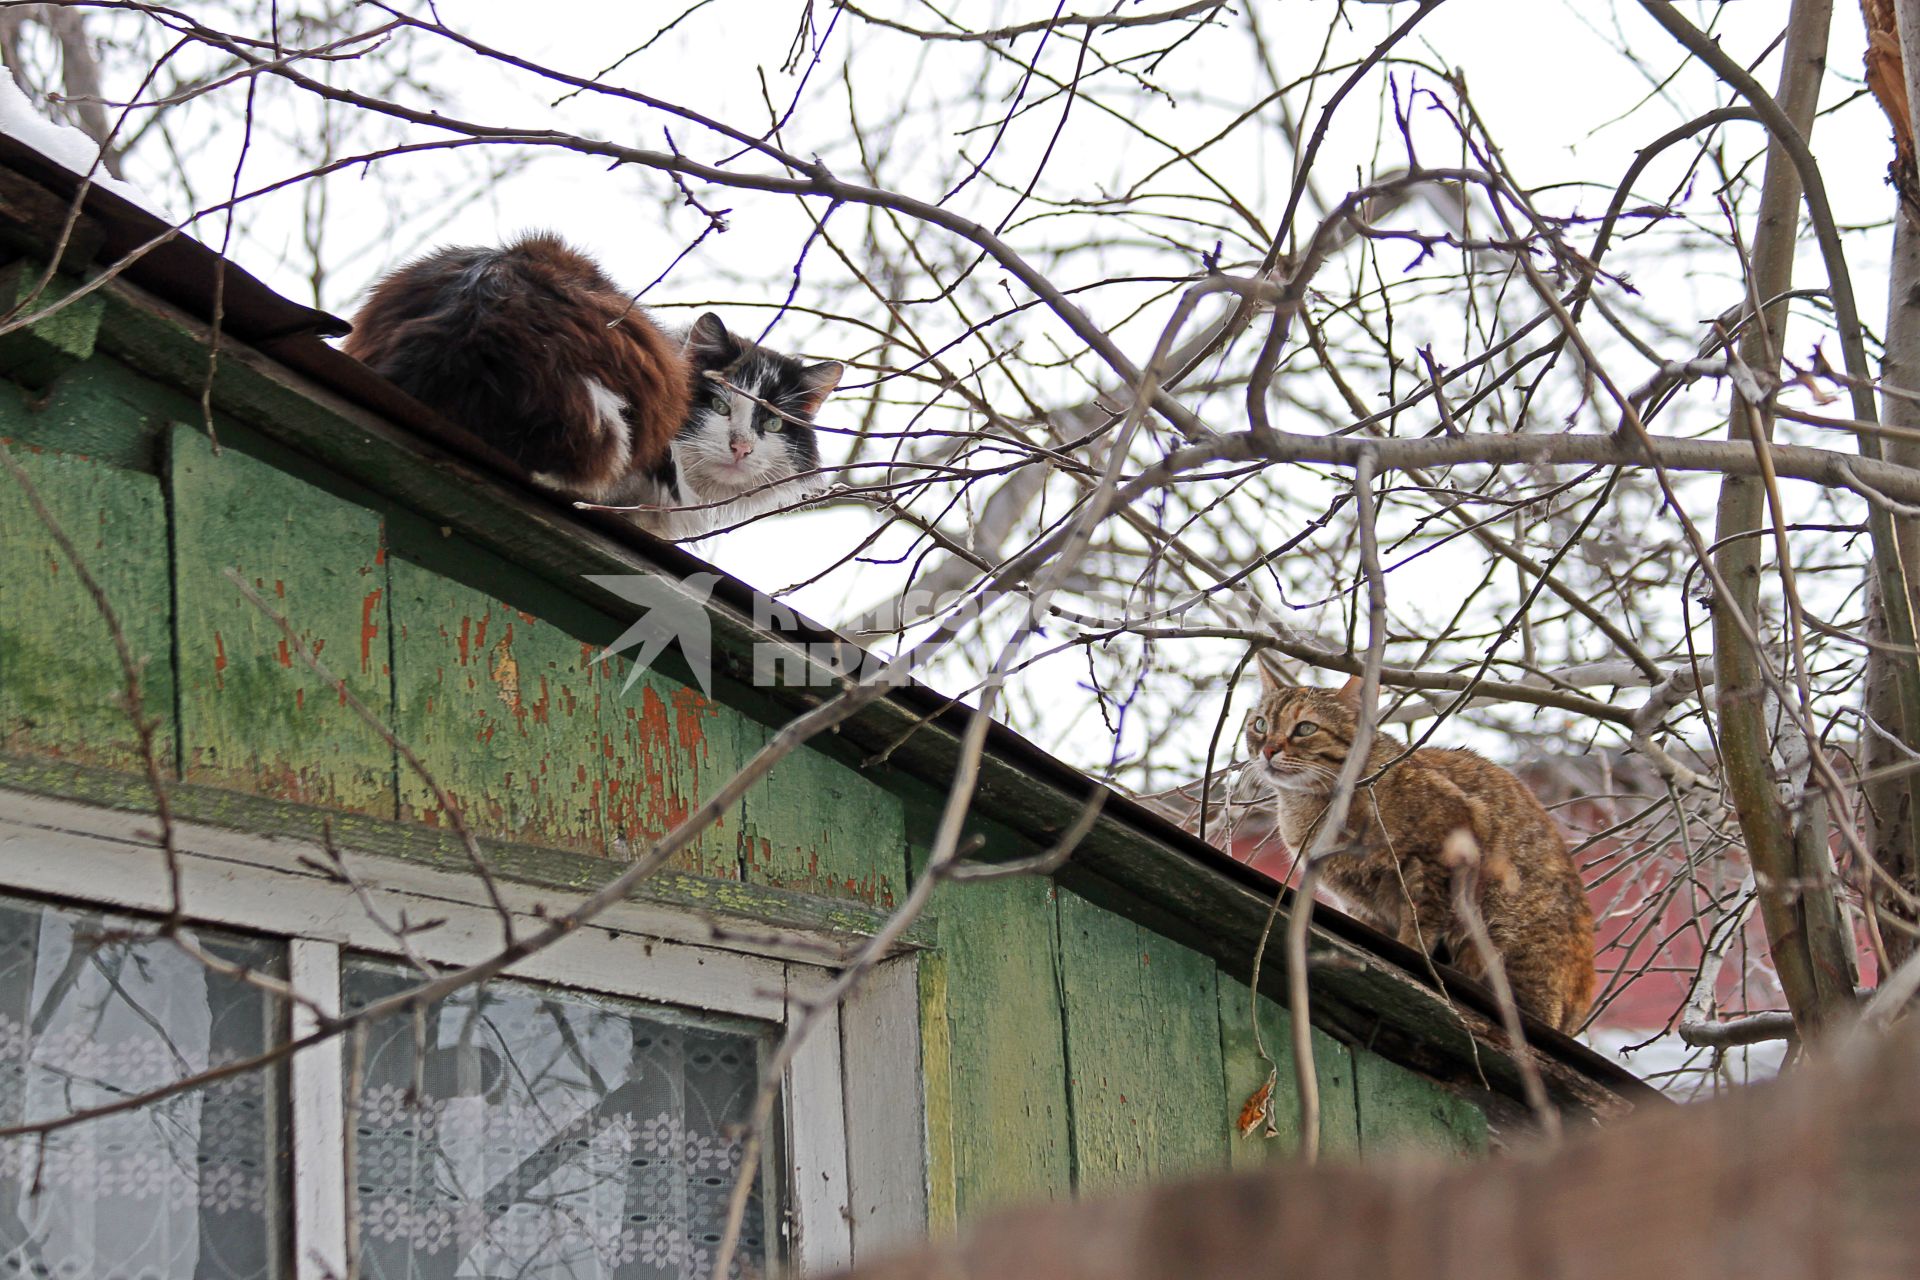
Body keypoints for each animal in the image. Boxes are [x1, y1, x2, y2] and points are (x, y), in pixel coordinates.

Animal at [1236, 667, 1597, 1036]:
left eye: (1305, 728)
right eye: (1261, 724)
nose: (1268, 749)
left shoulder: (1436, 859)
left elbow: (1418, 928)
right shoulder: (1361, 906)